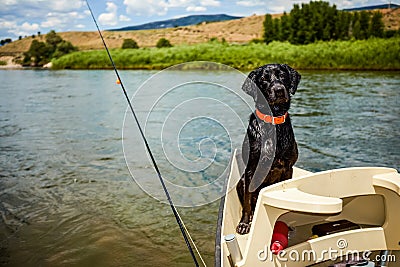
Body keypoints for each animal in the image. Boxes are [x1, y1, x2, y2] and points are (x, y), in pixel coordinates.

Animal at [234, 63, 300, 236]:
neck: (273, 123)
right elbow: (247, 202)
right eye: (264, 79)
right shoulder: (251, 170)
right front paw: (244, 224)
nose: (279, 90)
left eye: (283, 75)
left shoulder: (287, 168)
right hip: (240, 182)